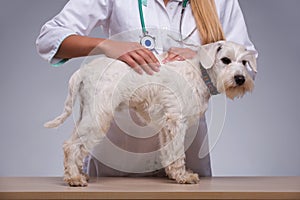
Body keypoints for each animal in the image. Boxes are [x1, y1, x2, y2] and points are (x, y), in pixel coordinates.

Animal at [45, 40, 256, 186]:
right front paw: (184, 176)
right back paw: (74, 178)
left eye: (245, 62)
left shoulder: (167, 125)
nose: (240, 78)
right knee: (71, 146)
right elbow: (177, 152)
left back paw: (77, 174)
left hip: (87, 114)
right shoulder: (177, 121)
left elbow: (169, 152)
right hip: (98, 118)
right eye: (225, 60)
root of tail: (83, 72)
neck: (199, 72)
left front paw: (174, 175)